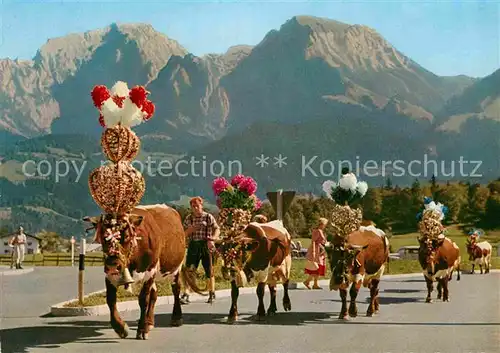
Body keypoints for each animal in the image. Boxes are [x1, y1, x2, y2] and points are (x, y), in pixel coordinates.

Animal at [84, 204, 205, 338]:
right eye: (103, 236)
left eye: (127, 236)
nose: (112, 265)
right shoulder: (110, 275)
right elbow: (110, 299)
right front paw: (120, 327)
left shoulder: (150, 271)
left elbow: (143, 299)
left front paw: (142, 329)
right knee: (154, 294)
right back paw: (150, 322)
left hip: (175, 269)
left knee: (175, 289)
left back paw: (176, 318)